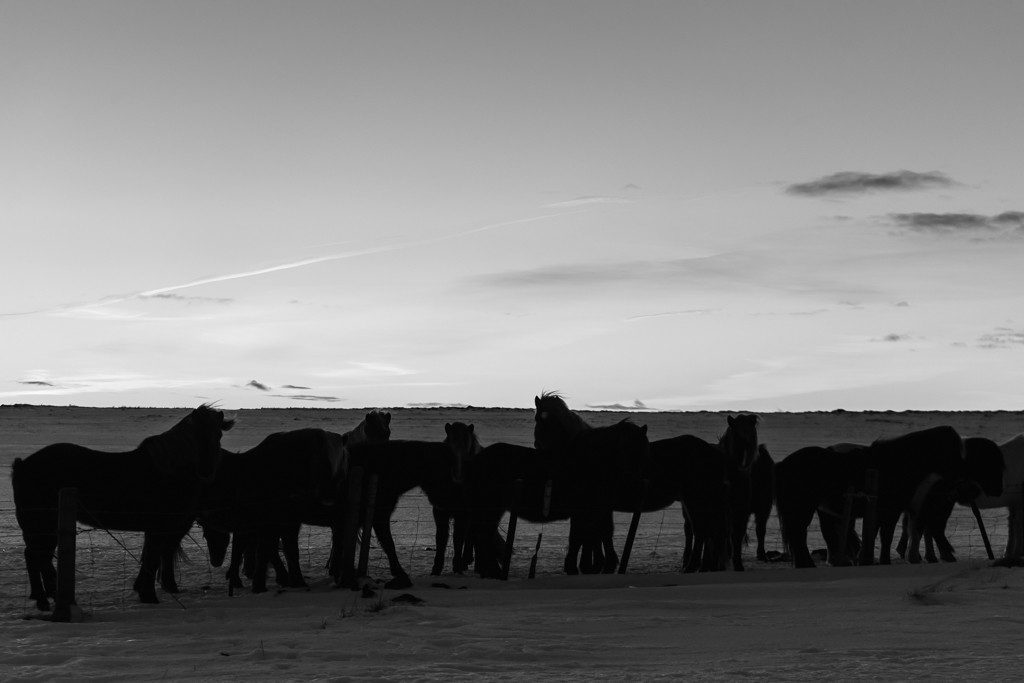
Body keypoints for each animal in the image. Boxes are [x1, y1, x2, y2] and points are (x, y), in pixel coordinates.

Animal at [12, 403, 234, 606]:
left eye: (218, 436)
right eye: (193, 437)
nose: (206, 472)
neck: (168, 470)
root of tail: (23, 464)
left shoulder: (158, 529)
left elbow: (151, 558)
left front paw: (145, 591)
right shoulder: (159, 527)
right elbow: (153, 558)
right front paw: (149, 596)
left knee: (36, 556)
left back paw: (46, 596)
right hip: (41, 525)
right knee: (37, 556)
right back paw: (46, 599)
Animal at [774, 428, 999, 565]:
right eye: (985, 462)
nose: (975, 491)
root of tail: (784, 463)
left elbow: (884, 534)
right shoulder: (894, 510)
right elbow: (890, 534)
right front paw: (885, 560)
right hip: (804, 508)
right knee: (800, 533)